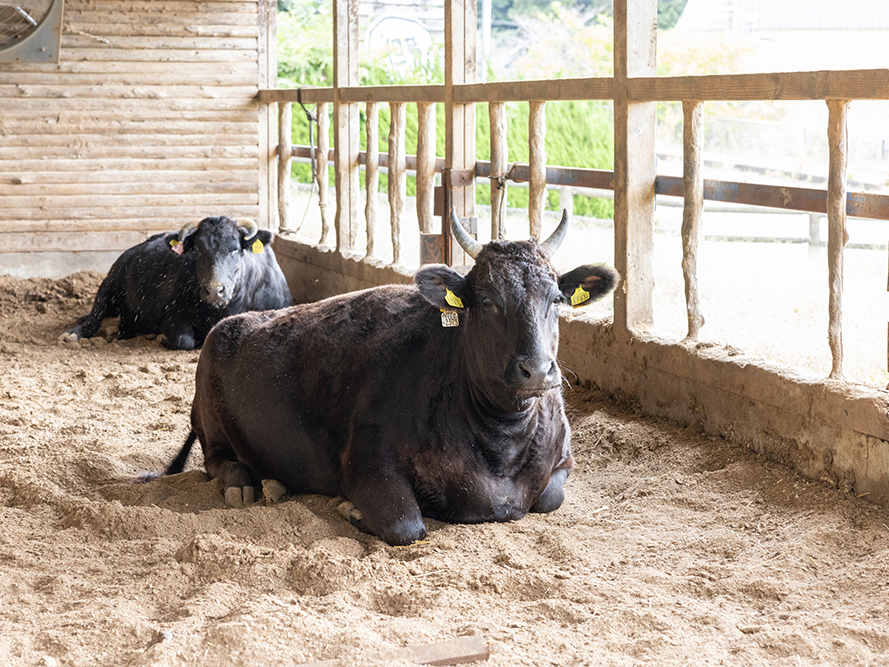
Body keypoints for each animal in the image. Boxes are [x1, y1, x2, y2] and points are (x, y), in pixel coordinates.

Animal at [64, 216, 293, 350]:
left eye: (235, 249)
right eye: (198, 249)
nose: (214, 291)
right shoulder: (172, 316)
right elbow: (185, 340)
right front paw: (160, 338)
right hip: (109, 283)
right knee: (93, 318)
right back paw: (74, 334)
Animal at [159, 209, 618, 545]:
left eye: (556, 298)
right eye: (487, 301)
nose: (537, 368)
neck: (499, 445)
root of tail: (233, 323)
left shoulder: (562, 461)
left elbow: (551, 497)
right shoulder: (368, 461)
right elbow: (406, 525)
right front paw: (351, 509)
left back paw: (274, 485)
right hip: (212, 420)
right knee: (217, 460)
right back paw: (245, 484)